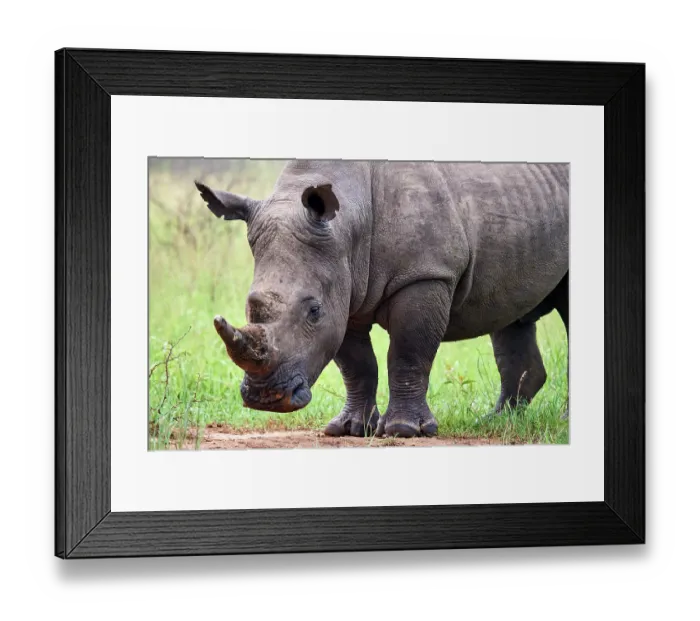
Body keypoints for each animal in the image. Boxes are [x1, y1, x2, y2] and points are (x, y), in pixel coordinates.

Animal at [195, 160, 569, 438]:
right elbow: (357, 364)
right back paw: (496, 422)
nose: (265, 399)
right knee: (512, 317)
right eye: (250, 305)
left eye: (314, 311)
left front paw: (404, 430)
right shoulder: (344, 293)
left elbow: (407, 353)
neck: (348, 223)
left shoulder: (425, 274)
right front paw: (349, 428)